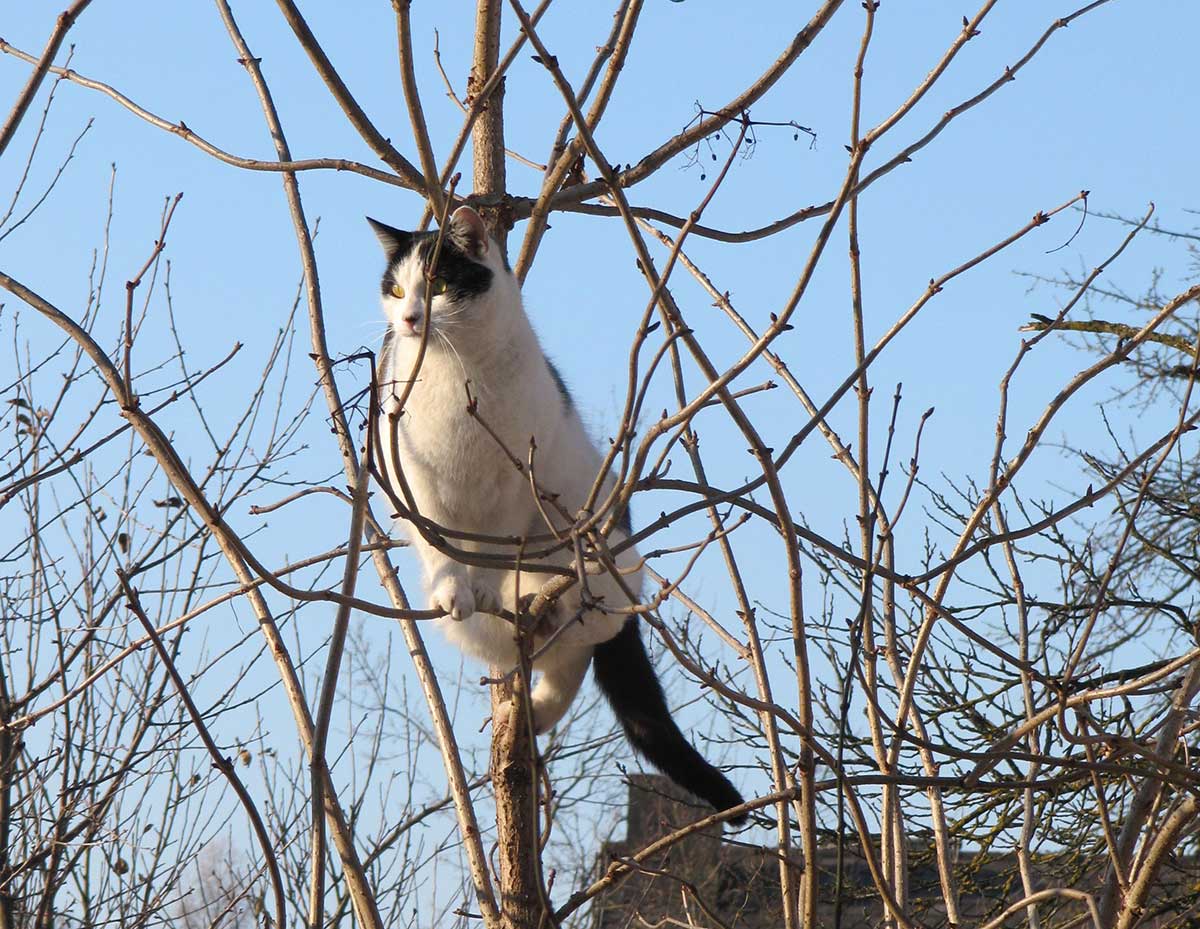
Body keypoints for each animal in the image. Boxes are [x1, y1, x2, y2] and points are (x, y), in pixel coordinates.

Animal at [367, 207, 739, 825]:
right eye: (395, 291)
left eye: (438, 286)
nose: (411, 318)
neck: (454, 378)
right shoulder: (417, 487)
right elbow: (444, 548)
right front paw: (458, 587)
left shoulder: (516, 486)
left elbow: (494, 547)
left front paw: (484, 586)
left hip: (594, 563)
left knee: (580, 649)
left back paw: (535, 645)